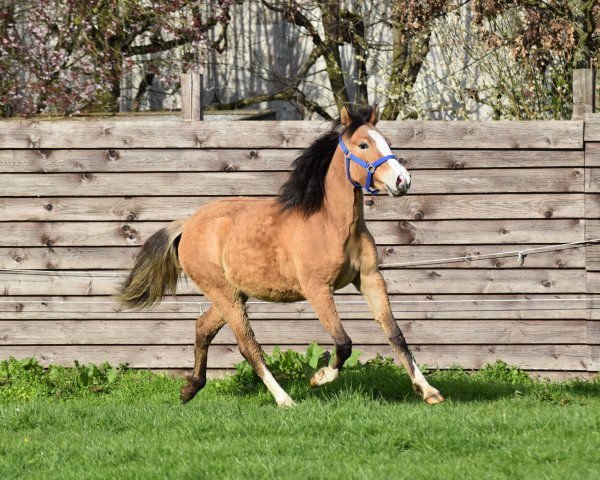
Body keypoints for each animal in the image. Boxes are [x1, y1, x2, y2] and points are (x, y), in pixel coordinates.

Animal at [120, 107, 446, 406]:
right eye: (363, 145)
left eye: (387, 141)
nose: (402, 181)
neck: (331, 223)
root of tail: (187, 225)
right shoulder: (317, 289)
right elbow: (343, 343)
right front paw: (318, 378)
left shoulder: (369, 279)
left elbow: (395, 334)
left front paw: (429, 391)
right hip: (223, 293)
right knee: (247, 345)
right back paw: (284, 399)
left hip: (234, 293)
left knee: (203, 328)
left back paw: (189, 390)